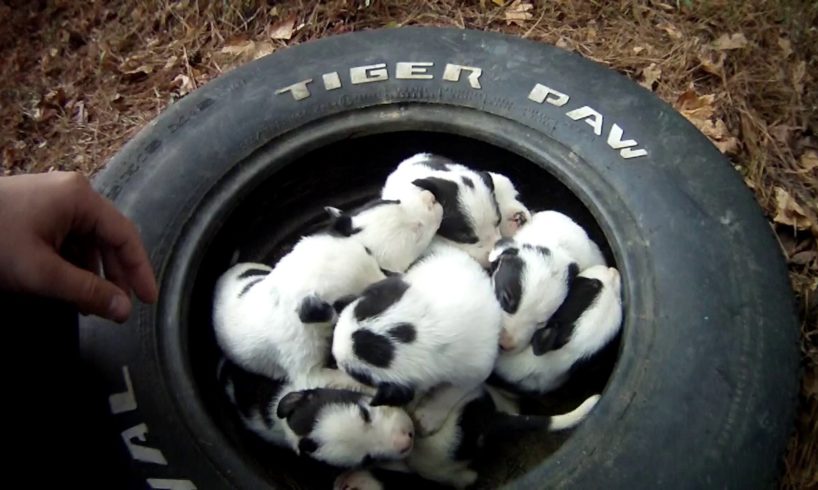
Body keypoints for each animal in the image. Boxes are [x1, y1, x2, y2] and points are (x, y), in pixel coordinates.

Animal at [328, 245, 500, 436]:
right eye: (360, 310)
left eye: (357, 375)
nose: (333, 355)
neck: (432, 332)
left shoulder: (475, 370)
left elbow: (451, 392)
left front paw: (429, 416)